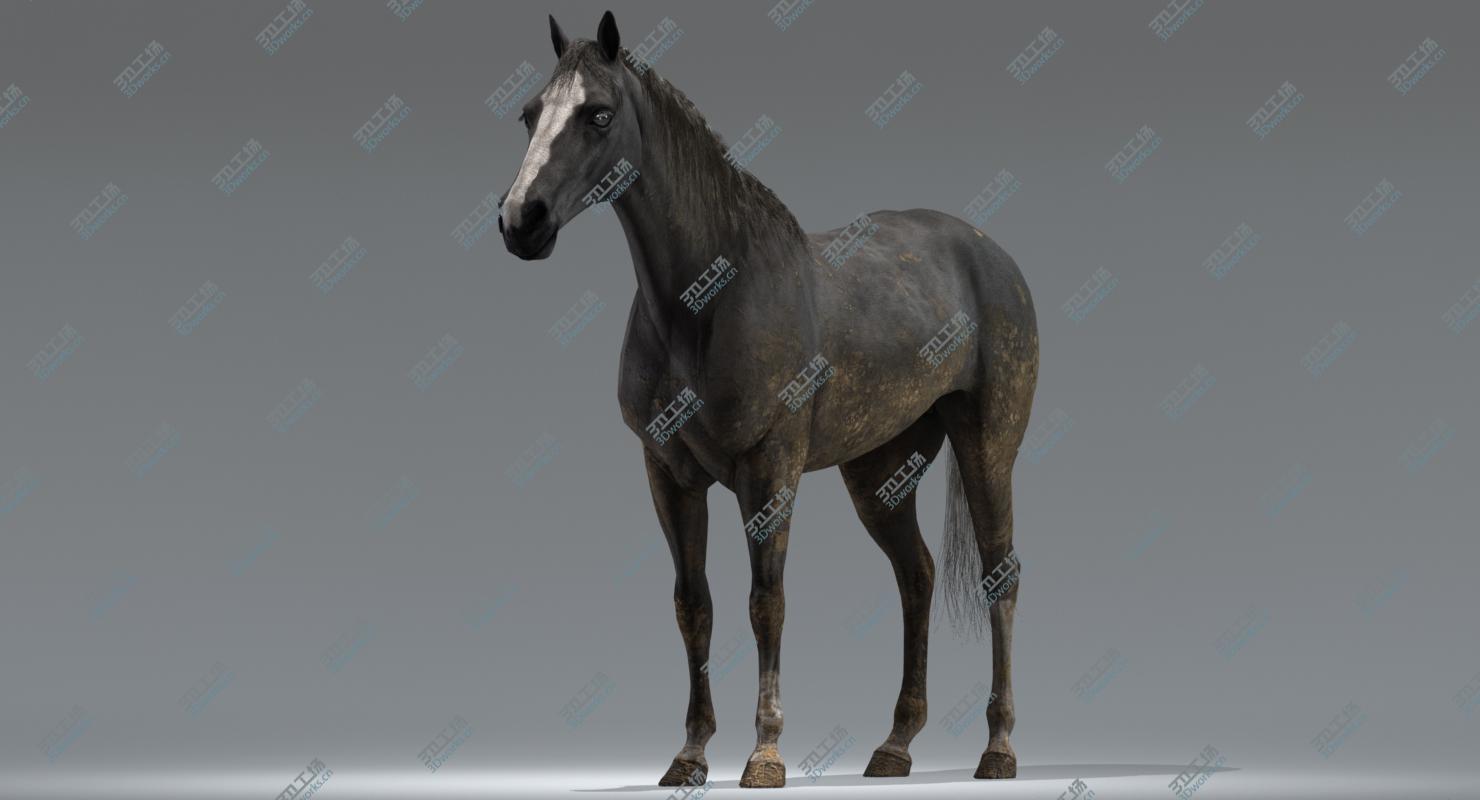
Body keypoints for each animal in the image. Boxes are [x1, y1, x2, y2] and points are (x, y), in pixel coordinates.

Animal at [498, 11, 1039, 788]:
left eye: (597, 114)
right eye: (529, 113)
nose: (522, 221)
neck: (709, 298)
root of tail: (992, 254)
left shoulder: (769, 466)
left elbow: (767, 603)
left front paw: (765, 754)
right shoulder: (668, 475)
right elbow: (694, 605)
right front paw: (690, 755)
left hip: (987, 445)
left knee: (1001, 576)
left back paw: (998, 749)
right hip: (880, 471)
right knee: (917, 575)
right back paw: (894, 746)